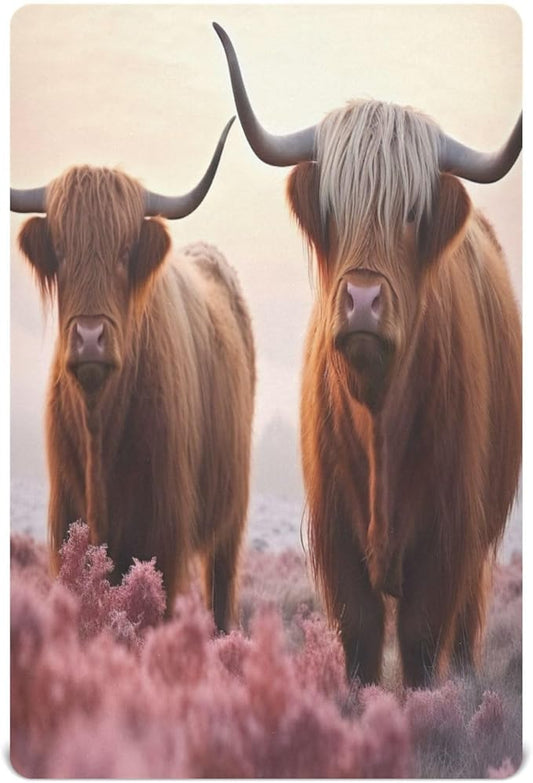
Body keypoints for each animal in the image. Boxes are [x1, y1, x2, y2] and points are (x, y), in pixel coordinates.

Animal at [11, 119, 256, 632]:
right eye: (60, 250)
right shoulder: (67, 521)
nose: (89, 338)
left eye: (126, 251)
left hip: (231, 513)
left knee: (221, 587)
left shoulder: (164, 529)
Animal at [214, 23, 522, 686]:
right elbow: (359, 639)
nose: (361, 300)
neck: (379, 415)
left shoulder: (448, 536)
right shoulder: (335, 537)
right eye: (333, 209)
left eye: (411, 212)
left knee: (468, 618)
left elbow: (423, 641)